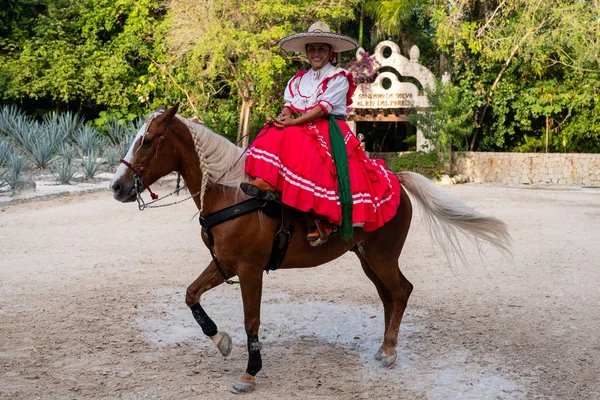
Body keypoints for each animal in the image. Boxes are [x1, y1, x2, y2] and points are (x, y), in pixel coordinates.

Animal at [109, 104, 510, 394]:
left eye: (148, 141)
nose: (116, 187)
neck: (233, 195)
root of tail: (395, 179)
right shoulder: (224, 265)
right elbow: (191, 295)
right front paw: (221, 341)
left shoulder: (250, 270)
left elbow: (251, 320)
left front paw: (250, 373)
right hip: (368, 259)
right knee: (390, 296)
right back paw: (384, 345)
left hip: (382, 257)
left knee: (401, 291)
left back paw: (391, 351)